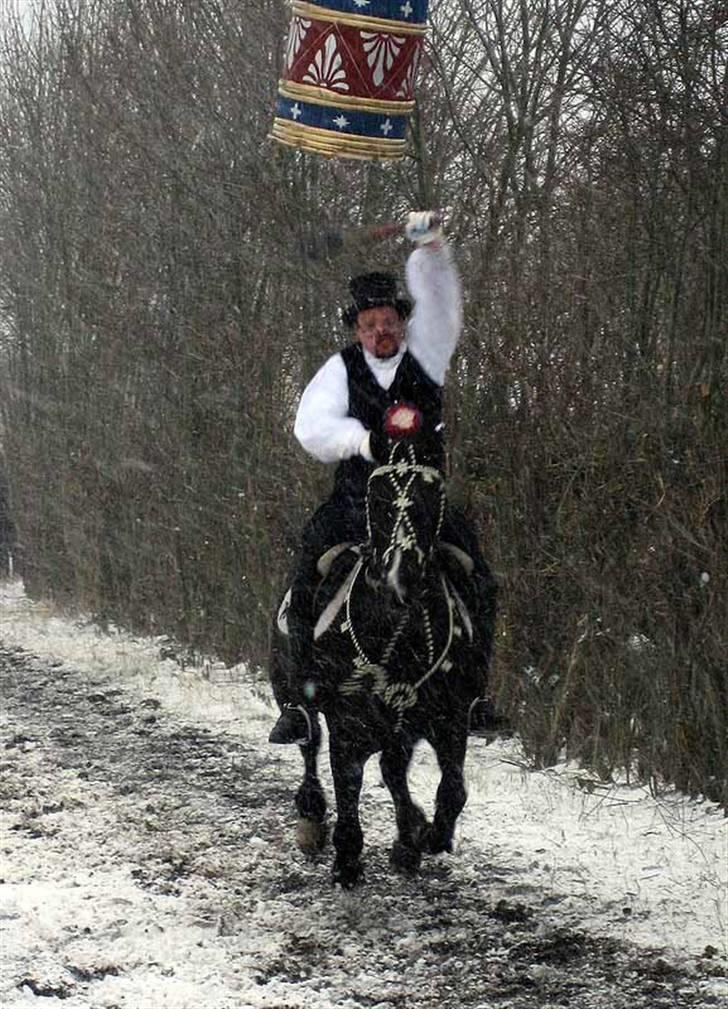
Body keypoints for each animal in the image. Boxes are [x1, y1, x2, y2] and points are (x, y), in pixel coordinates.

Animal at [270, 433, 496, 891]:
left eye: (431, 495)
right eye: (380, 497)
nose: (401, 574)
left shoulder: (449, 720)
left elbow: (452, 791)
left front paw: (425, 836)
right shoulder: (347, 724)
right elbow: (347, 783)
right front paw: (348, 861)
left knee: (393, 771)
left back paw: (408, 839)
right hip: (293, 692)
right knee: (308, 743)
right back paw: (312, 818)